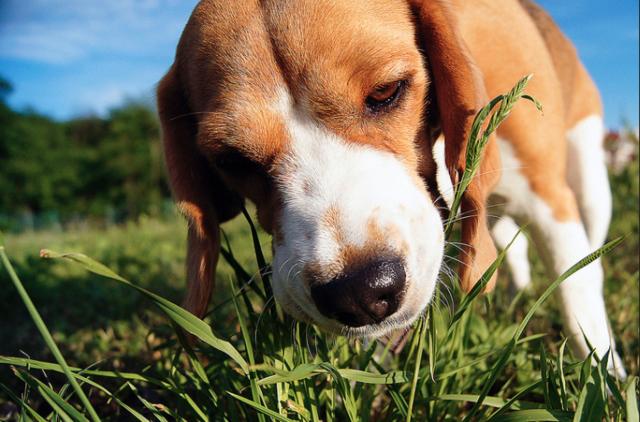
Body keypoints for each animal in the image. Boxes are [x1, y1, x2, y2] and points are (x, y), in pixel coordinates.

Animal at [159, 0, 624, 376]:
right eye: (232, 160)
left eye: (386, 91)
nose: (359, 293)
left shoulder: (549, 199)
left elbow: (577, 293)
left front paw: (605, 382)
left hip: (589, 179)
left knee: (590, 253)